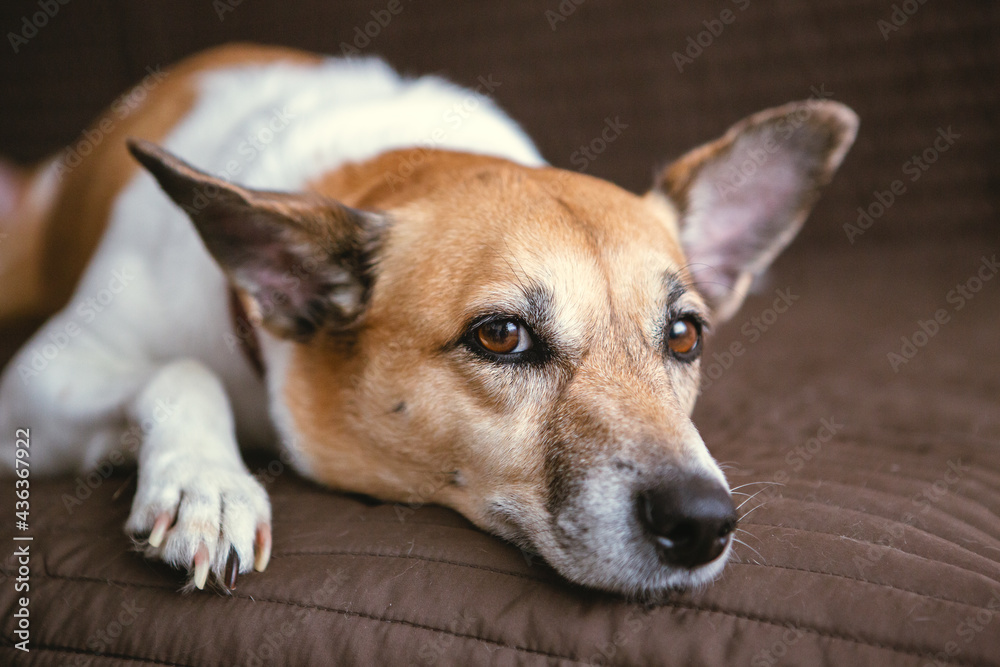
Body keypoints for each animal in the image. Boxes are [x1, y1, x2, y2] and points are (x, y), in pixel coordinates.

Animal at [0, 43, 860, 596]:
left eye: (685, 335)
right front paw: (207, 485)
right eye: (501, 335)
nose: (704, 522)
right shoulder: (33, 384)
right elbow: (181, 370)